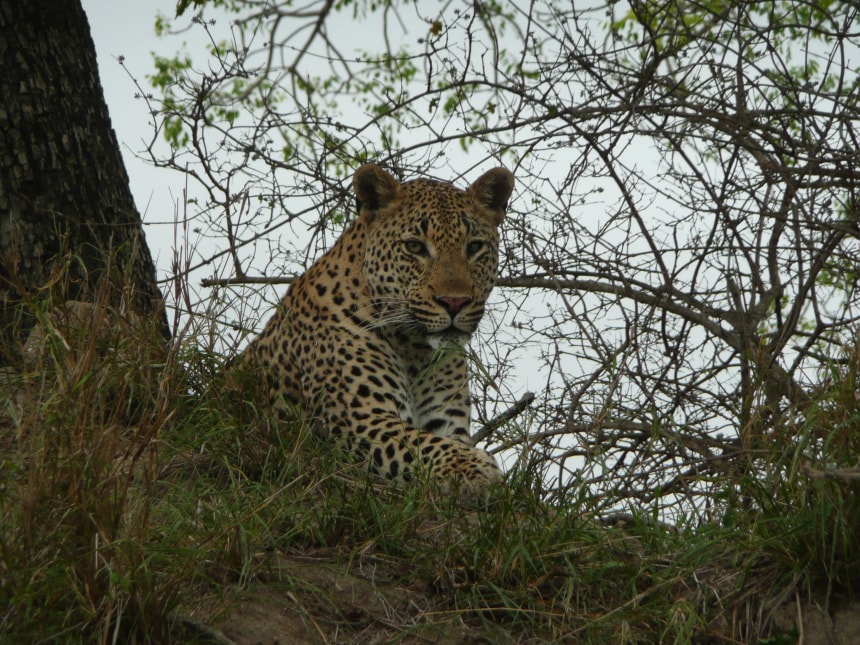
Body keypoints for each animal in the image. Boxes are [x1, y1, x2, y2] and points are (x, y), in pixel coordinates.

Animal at [237, 163, 515, 498]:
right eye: (414, 247)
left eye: (474, 247)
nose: (454, 302)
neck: (414, 349)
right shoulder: (357, 420)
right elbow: (421, 445)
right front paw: (476, 468)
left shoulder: (446, 423)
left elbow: (438, 441)